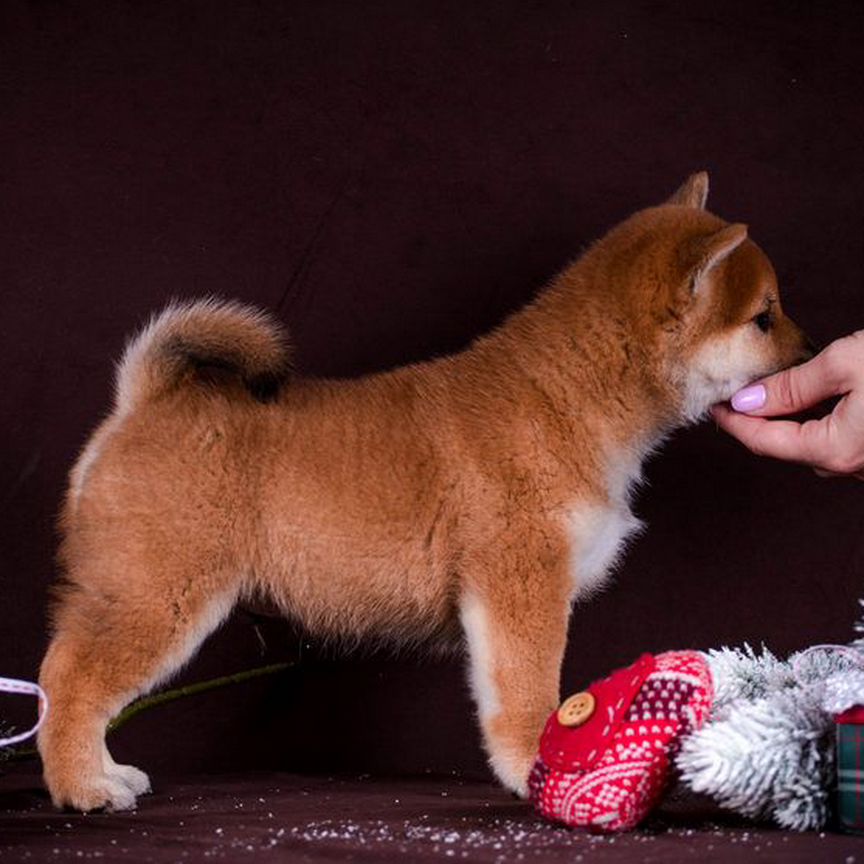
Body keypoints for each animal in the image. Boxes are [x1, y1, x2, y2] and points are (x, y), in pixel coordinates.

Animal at [38, 174, 808, 808]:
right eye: (764, 317)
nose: (807, 354)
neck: (571, 398)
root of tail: (144, 399)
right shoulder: (520, 588)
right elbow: (527, 695)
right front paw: (531, 768)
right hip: (157, 599)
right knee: (70, 681)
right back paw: (85, 788)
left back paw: (101, 772)